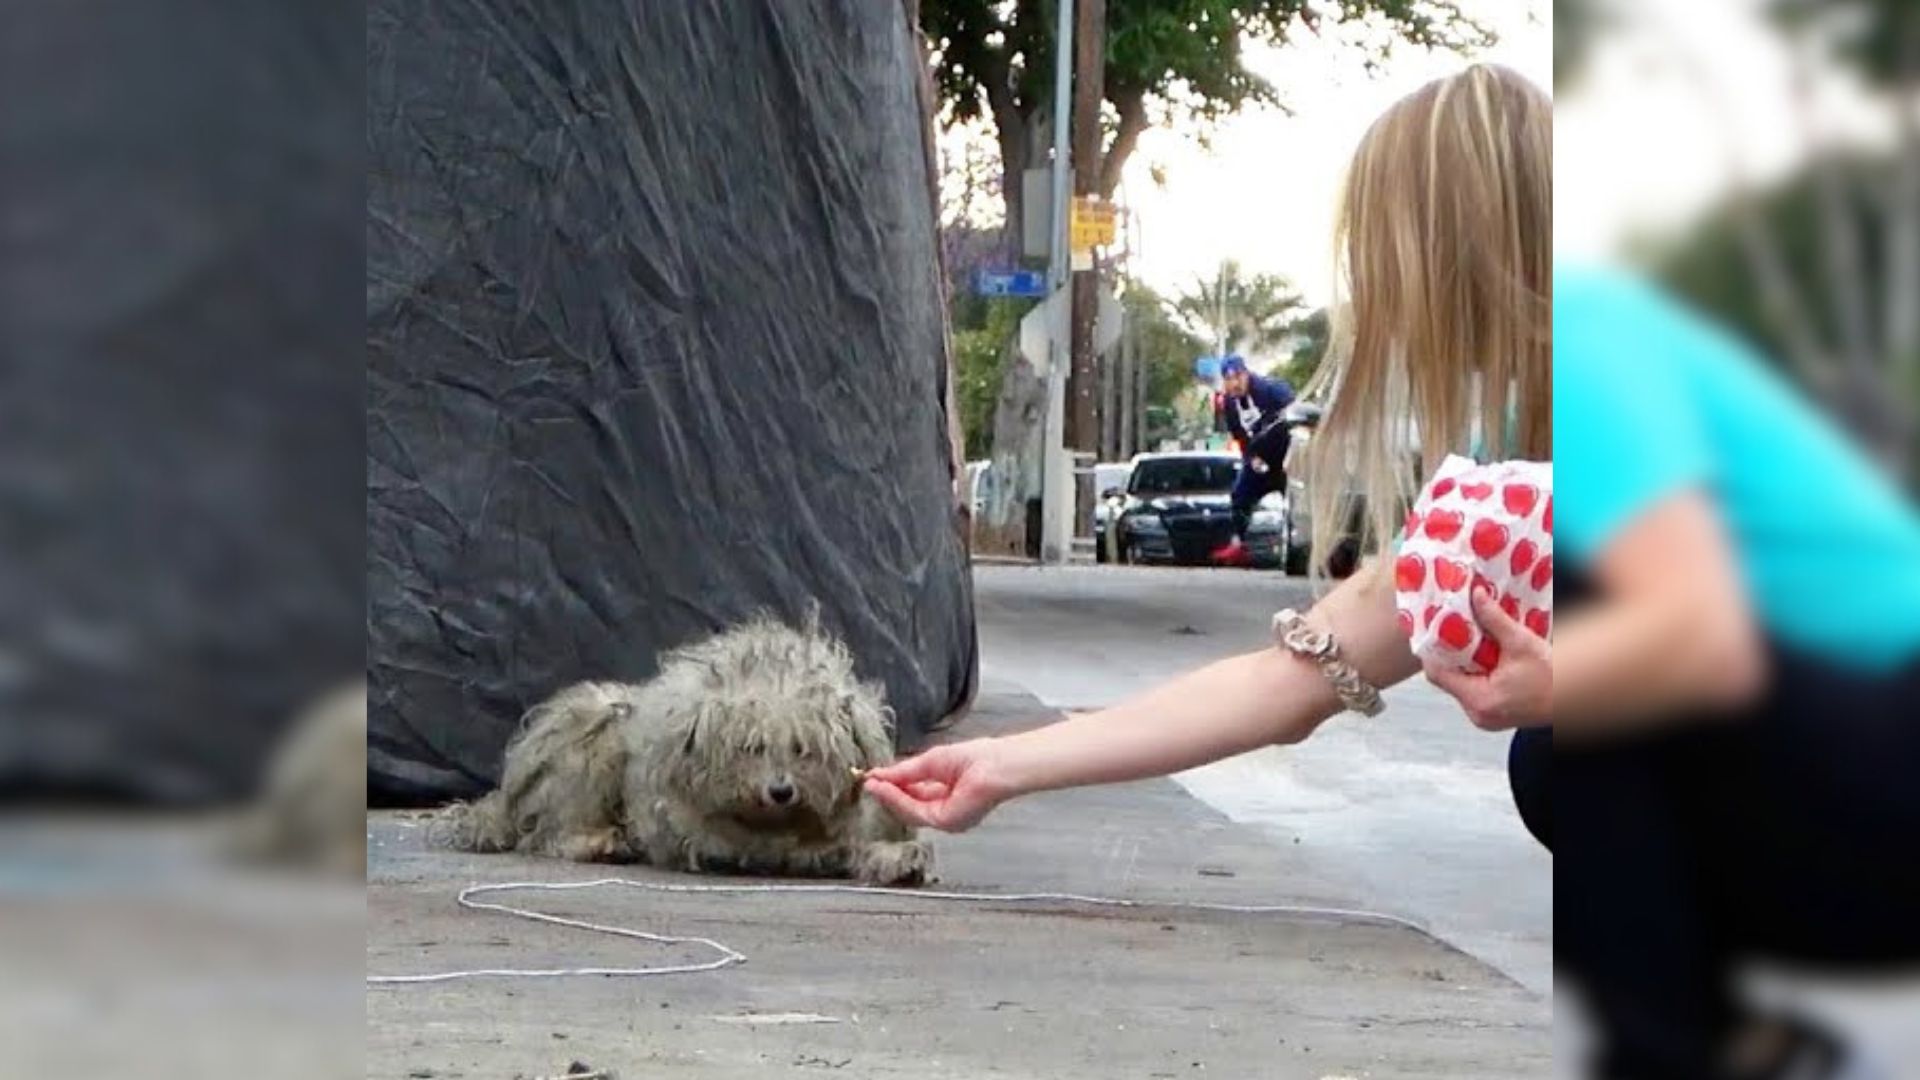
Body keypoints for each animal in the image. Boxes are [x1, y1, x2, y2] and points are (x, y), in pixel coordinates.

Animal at [437, 607, 944, 883]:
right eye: (751, 747)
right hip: (594, 735)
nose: (780, 791)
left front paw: (898, 860)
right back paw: (599, 841)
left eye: (805, 749)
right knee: (549, 832)